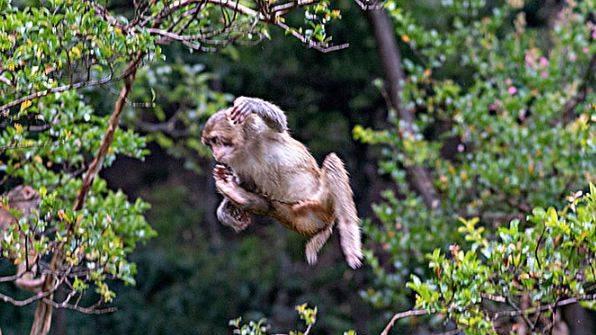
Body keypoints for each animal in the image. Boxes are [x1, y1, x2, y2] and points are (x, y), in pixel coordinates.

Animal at [201, 96, 364, 270]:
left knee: (332, 161)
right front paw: (226, 209)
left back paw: (349, 236)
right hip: (295, 217)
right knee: (271, 206)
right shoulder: (234, 162)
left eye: (215, 140)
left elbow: (279, 124)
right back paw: (237, 194)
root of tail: (324, 223)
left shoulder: (254, 126)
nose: (215, 153)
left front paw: (251, 104)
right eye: (210, 144)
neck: (243, 145)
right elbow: (247, 183)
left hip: (325, 203)